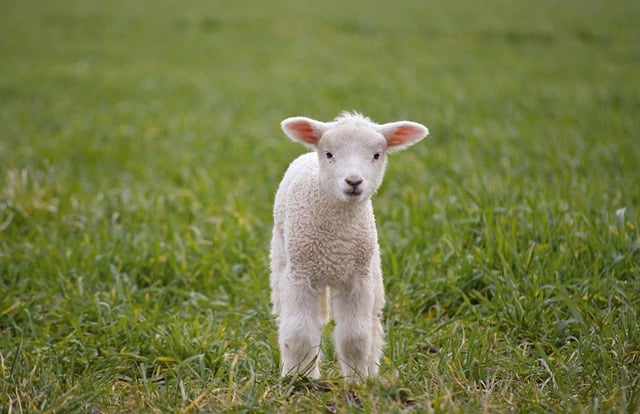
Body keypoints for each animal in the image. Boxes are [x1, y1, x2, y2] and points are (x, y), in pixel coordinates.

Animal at [268, 111, 428, 380]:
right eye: (329, 154)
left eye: (376, 155)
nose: (354, 181)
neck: (337, 243)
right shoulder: (300, 275)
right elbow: (299, 333)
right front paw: (299, 378)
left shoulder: (357, 280)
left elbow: (355, 337)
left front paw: (357, 380)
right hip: (282, 258)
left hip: (373, 269)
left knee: (373, 322)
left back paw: (372, 370)